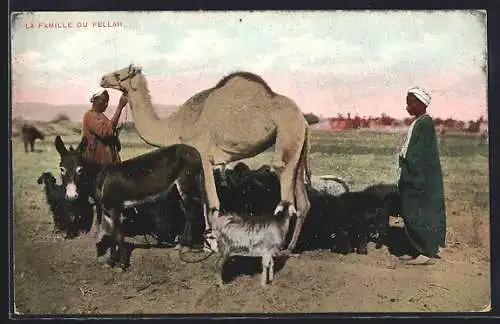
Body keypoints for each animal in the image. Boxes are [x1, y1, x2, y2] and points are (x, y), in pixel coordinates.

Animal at [99, 64, 310, 253]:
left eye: (119, 73)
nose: (102, 79)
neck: (174, 126)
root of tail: (304, 120)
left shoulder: (204, 155)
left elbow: (212, 201)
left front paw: (212, 245)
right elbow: (203, 201)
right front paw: (203, 243)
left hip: (287, 134)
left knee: (285, 190)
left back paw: (278, 247)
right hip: (297, 148)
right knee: (303, 202)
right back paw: (290, 247)